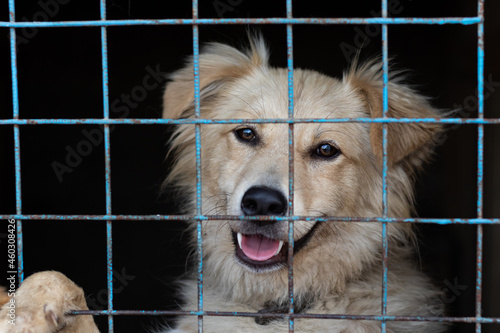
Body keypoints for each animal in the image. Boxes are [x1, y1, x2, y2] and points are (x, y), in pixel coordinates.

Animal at [0, 37, 446, 330]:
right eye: (246, 133)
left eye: (325, 150)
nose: (263, 203)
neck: (272, 307)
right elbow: (57, 280)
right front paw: (34, 299)